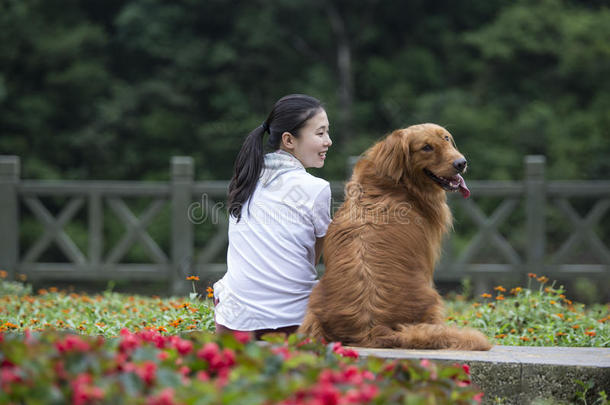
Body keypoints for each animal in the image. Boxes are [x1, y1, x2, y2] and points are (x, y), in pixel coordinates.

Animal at [296, 123, 492, 350]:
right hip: (432, 298)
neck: (397, 184)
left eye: (445, 138)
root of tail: (372, 330)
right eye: (426, 147)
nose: (461, 163)